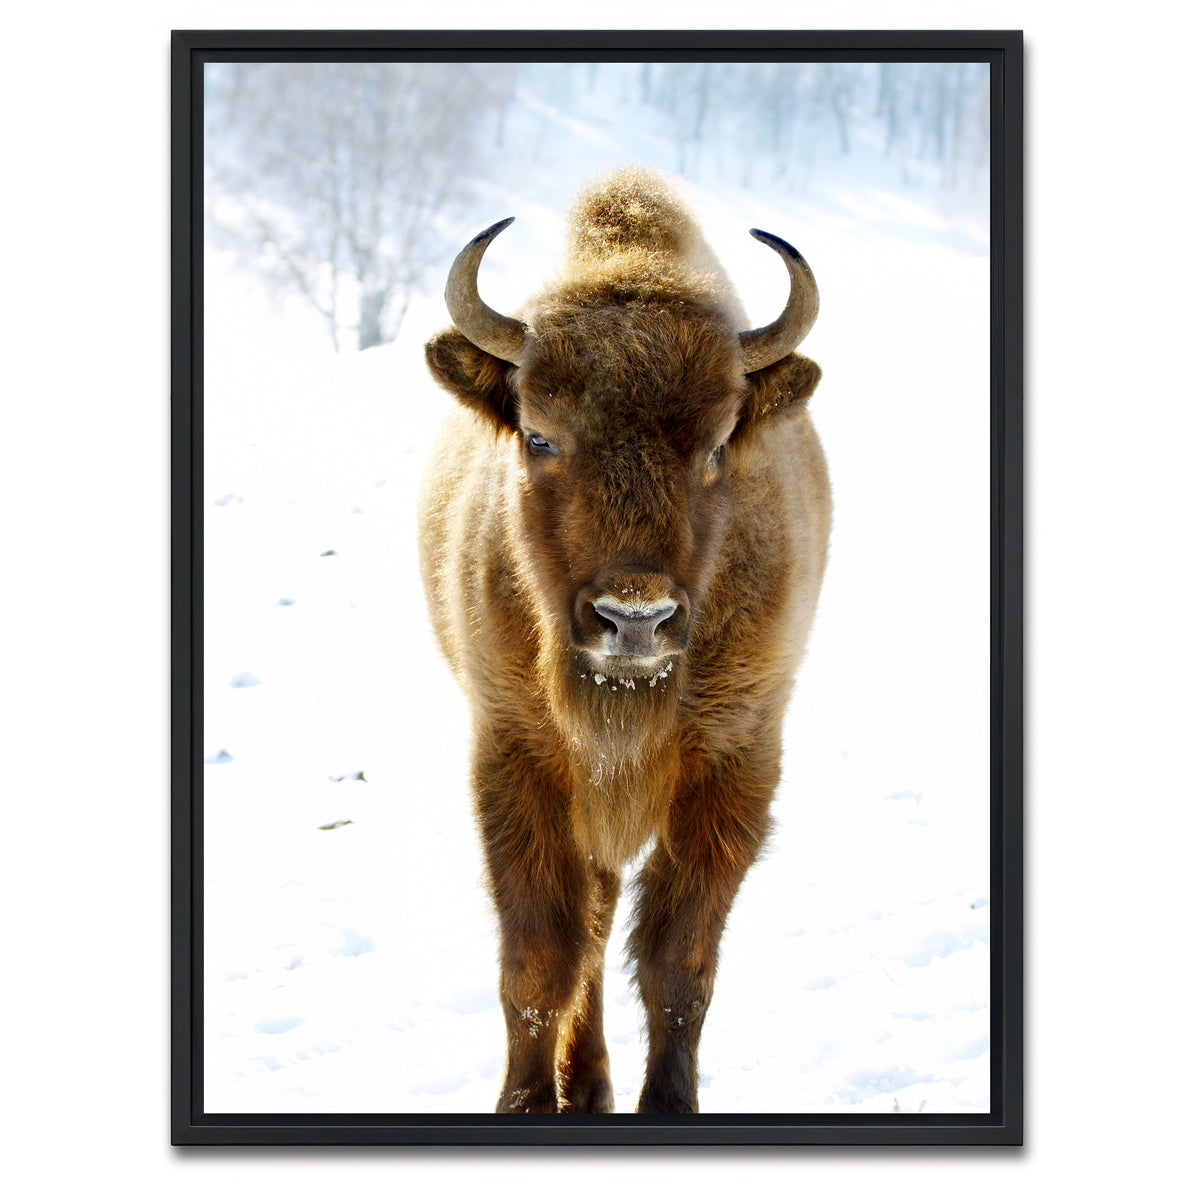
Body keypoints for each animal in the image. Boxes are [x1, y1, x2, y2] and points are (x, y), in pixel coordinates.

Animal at [419, 167, 830, 1113]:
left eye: (717, 445)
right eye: (538, 435)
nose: (633, 617)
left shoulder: (733, 763)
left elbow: (679, 965)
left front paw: (667, 1105)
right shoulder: (519, 757)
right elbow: (540, 960)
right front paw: (527, 1105)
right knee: (591, 931)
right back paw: (588, 1084)